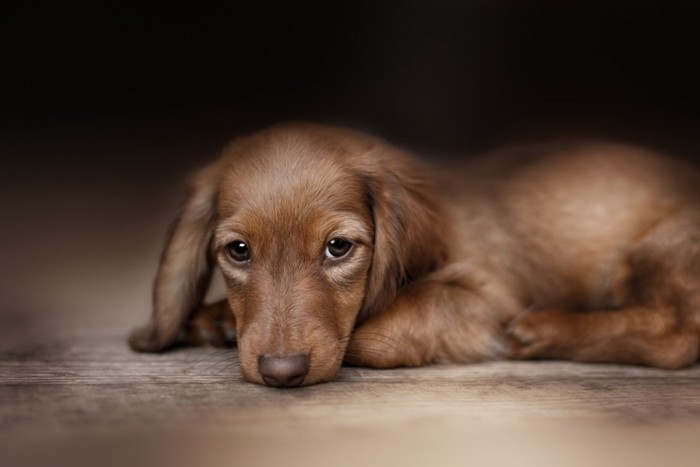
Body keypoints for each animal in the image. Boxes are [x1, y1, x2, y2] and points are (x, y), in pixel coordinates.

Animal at [130, 121, 700, 388]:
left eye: (338, 247)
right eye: (239, 251)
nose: (282, 371)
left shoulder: (482, 300)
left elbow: (378, 330)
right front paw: (219, 317)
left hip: (650, 252)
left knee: (675, 336)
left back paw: (545, 329)